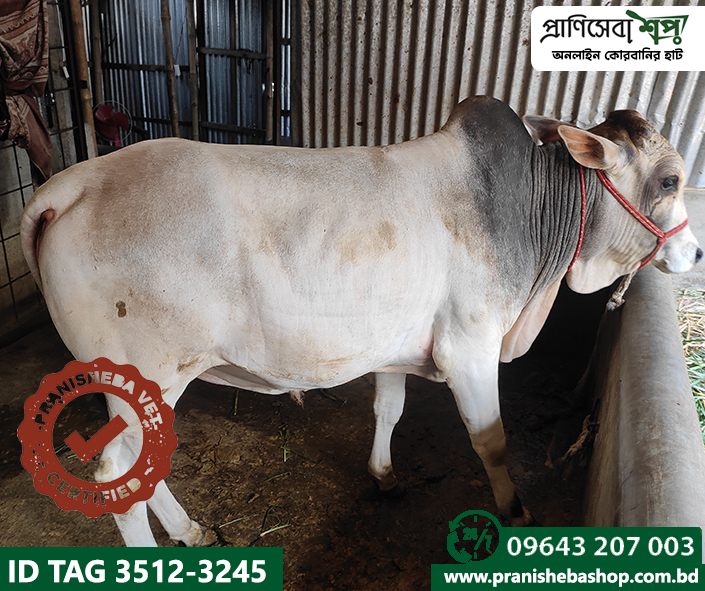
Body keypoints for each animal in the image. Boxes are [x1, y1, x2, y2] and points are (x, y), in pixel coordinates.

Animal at [21, 96, 700, 546]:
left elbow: (389, 410)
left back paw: (188, 530)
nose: (693, 254)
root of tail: (70, 185)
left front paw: (384, 476)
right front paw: (516, 513)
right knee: (116, 473)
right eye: (670, 180)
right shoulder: (470, 347)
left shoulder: (396, 349)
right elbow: (493, 441)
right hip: (149, 374)